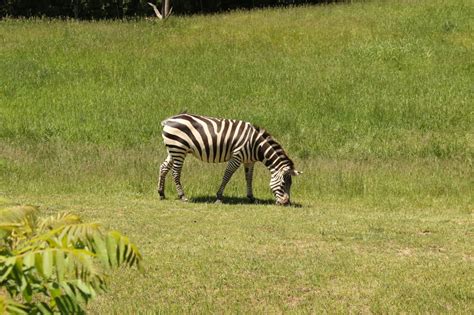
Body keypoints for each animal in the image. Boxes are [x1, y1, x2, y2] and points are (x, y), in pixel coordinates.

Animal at [157, 113, 302, 205]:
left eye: (290, 185)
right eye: (283, 184)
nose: (286, 203)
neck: (257, 145)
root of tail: (168, 120)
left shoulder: (249, 161)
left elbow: (249, 178)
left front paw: (251, 197)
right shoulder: (237, 156)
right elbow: (227, 175)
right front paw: (219, 197)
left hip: (173, 150)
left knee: (163, 167)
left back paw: (161, 193)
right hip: (178, 149)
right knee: (175, 172)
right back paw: (182, 196)